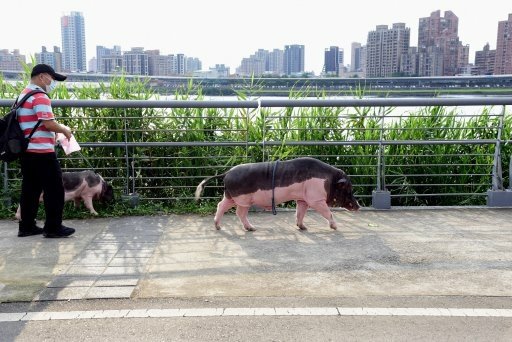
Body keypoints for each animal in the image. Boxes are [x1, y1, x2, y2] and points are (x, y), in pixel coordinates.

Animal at [196, 158, 360, 232]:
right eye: (348, 189)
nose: (358, 206)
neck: (330, 180)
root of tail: (227, 173)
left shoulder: (302, 199)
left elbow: (300, 213)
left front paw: (303, 227)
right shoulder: (316, 199)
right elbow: (327, 212)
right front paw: (335, 227)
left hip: (231, 196)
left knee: (221, 206)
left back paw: (219, 227)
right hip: (243, 199)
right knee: (238, 212)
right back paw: (252, 228)